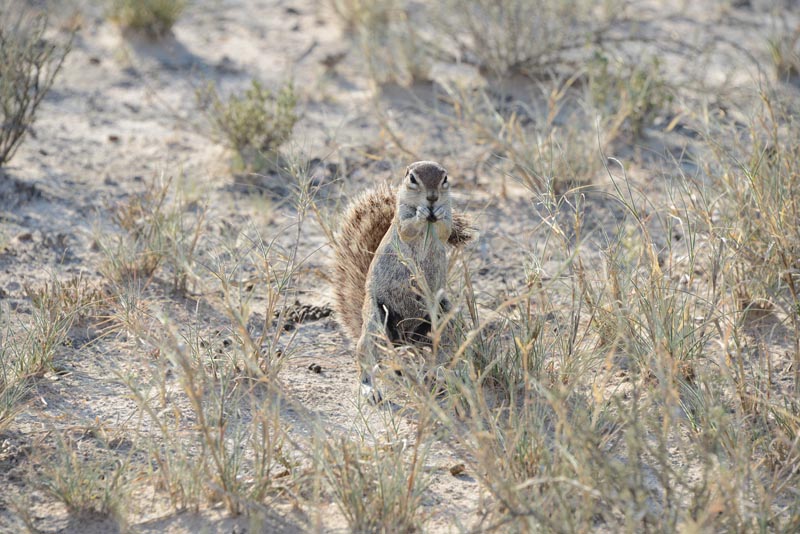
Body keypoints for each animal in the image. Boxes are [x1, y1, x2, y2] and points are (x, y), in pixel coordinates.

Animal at [331, 161, 476, 401]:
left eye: (444, 178)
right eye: (413, 179)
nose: (432, 198)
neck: (430, 219)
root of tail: (404, 338)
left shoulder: (445, 223)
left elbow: (444, 229)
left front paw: (439, 210)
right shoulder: (401, 220)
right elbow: (408, 228)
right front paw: (419, 214)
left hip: (444, 318)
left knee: (441, 353)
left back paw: (444, 375)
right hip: (374, 321)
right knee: (366, 361)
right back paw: (370, 389)